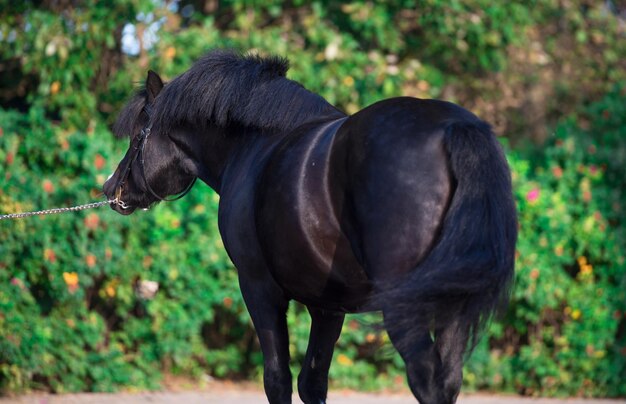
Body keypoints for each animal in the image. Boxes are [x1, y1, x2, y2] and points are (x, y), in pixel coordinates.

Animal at [102, 51, 516, 404]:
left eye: (138, 136)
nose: (111, 189)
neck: (254, 147)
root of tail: (453, 128)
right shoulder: (328, 306)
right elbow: (312, 382)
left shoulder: (258, 288)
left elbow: (278, 380)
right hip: (450, 305)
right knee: (447, 379)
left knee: (426, 379)